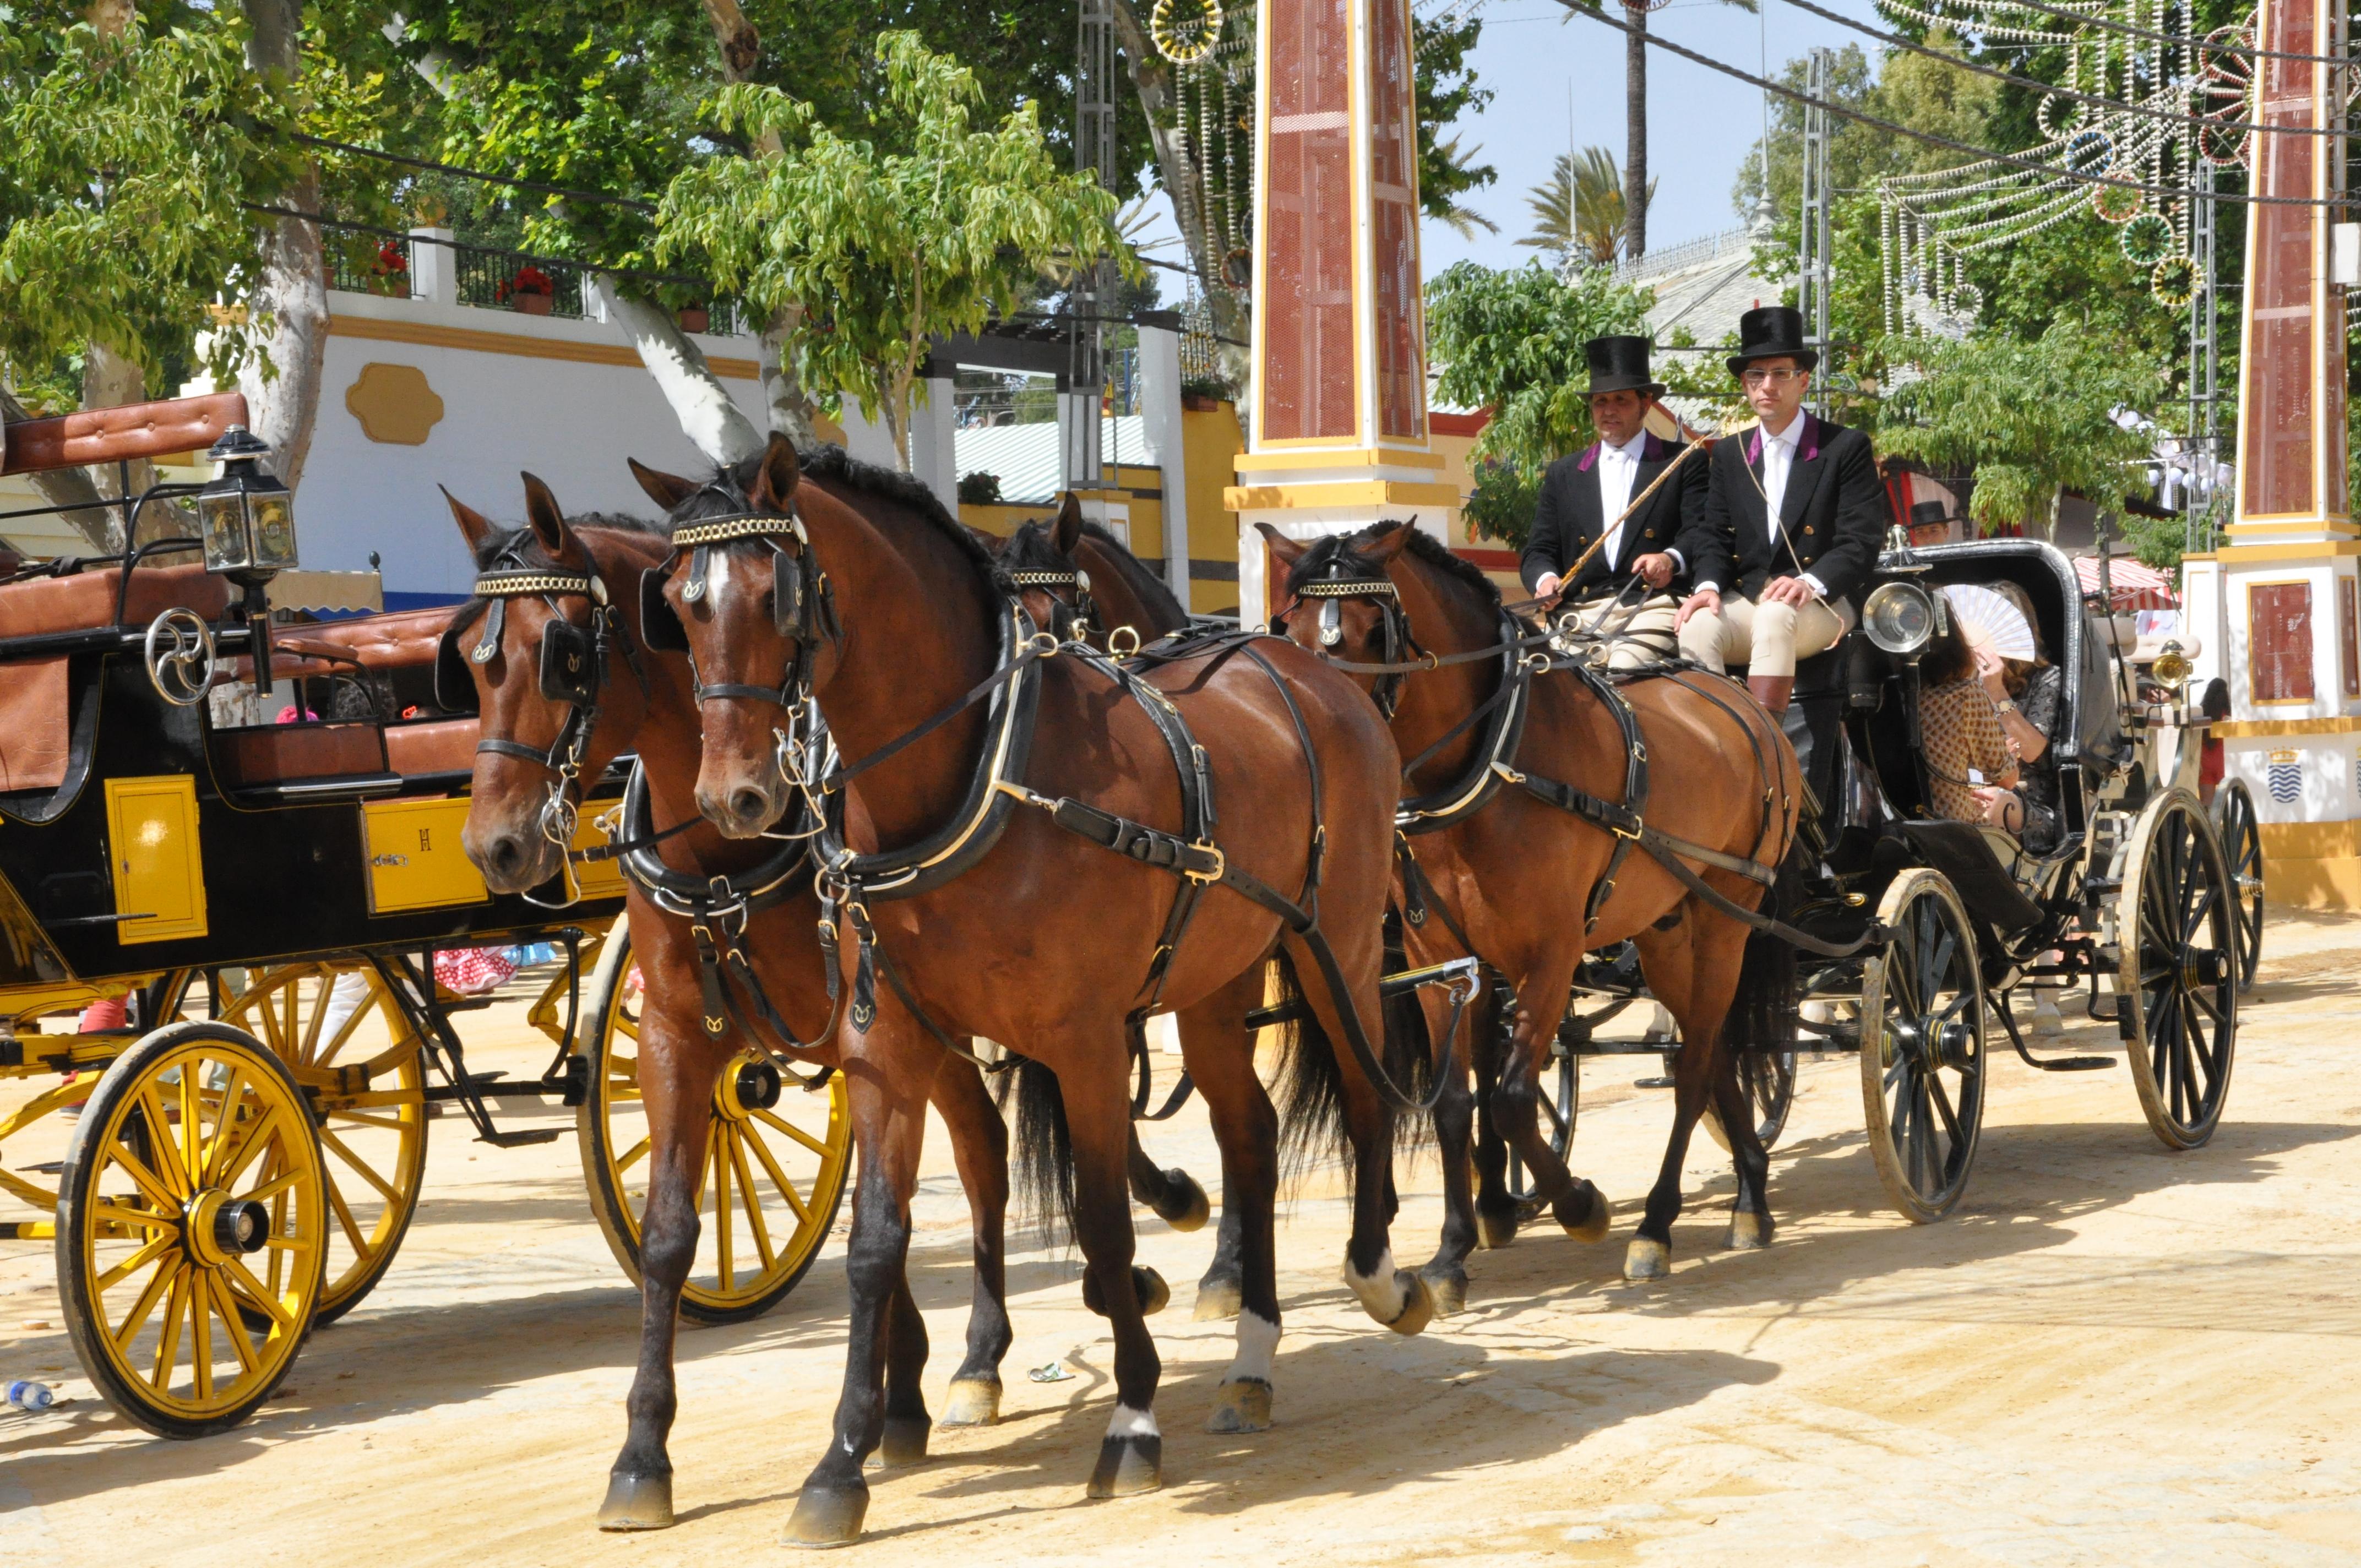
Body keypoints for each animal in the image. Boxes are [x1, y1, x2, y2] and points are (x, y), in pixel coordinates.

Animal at [446, 475, 1081, 1530]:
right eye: (464, 661)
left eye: (562, 654)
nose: (496, 847)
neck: (721, 848)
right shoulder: (675, 1040)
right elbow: (670, 1236)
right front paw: (645, 1453)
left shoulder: (863, 1027)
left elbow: (878, 1208)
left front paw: (876, 1405)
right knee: (985, 1147)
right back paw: (960, 1365)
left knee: (991, 1149)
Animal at [637, 434, 1426, 1549]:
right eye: (677, 604)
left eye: (774, 596)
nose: (733, 797)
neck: (980, 771)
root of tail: (1310, 675)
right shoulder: (887, 1043)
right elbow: (876, 1244)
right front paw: (840, 1466)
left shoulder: (1085, 1039)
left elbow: (1101, 1217)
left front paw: (1132, 1416)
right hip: (1213, 982)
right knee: (1251, 1135)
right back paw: (1254, 1355)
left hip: (1337, 946)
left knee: (1363, 1093)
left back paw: (1378, 1273)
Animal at [1265, 519, 1794, 1294]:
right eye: (1292, 628)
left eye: (1372, 628)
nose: (1326, 724)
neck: (1491, 765)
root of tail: (1750, 708)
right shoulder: (1438, 960)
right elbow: (1456, 1103)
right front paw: (1452, 1252)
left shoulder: (1551, 953)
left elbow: (1513, 1096)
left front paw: (1578, 1204)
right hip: (1666, 929)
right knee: (1713, 1043)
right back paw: (1751, 1193)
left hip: (1729, 916)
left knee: (1694, 1066)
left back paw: (1658, 1225)